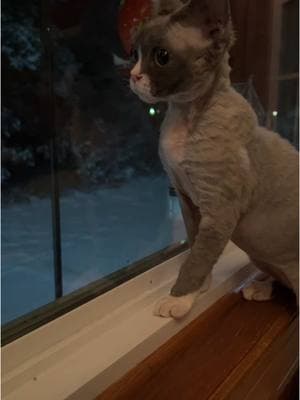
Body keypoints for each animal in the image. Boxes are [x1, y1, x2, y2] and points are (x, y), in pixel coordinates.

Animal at [128, 0, 298, 318]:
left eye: (161, 56)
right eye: (135, 54)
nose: (132, 75)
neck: (184, 115)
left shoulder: (218, 211)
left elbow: (196, 260)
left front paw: (179, 299)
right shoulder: (188, 200)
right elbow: (197, 250)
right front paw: (200, 288)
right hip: (260, 255)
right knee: (283, 282)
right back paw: (259, 287)